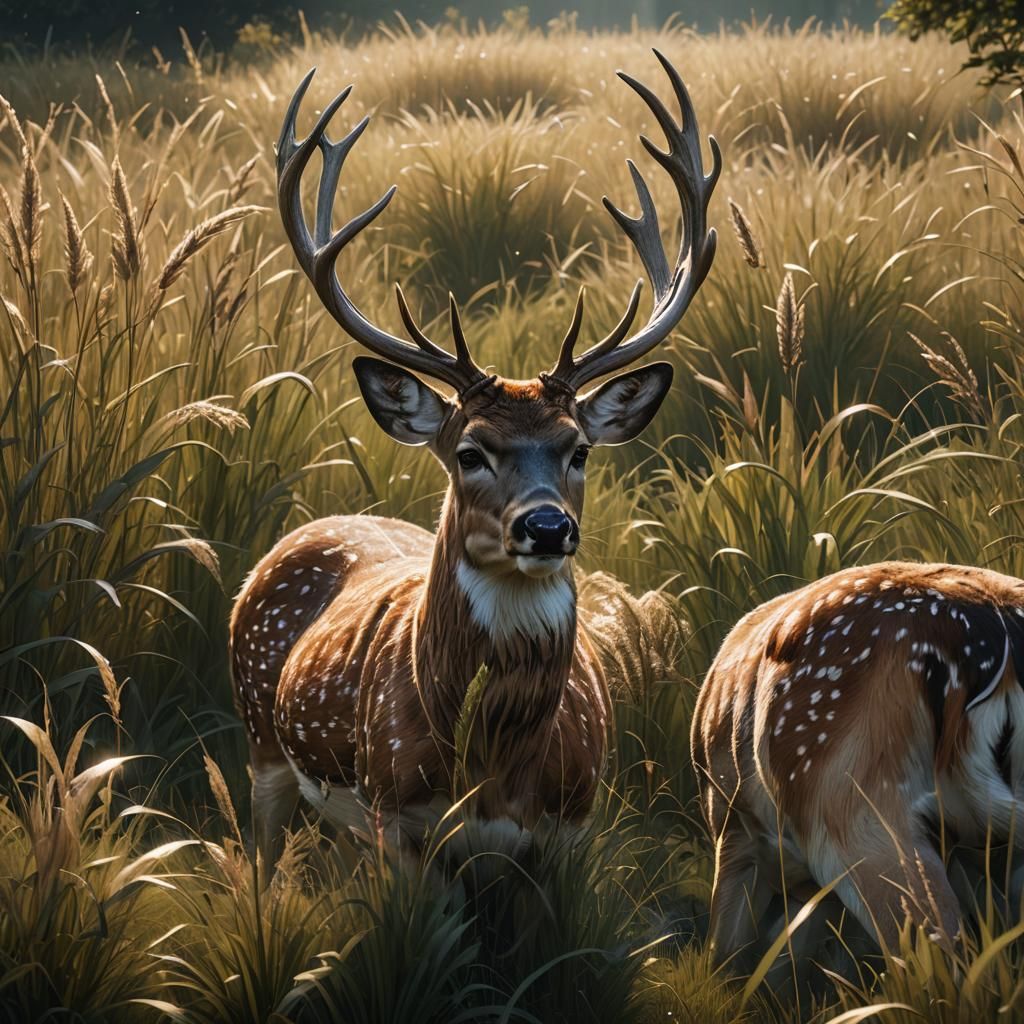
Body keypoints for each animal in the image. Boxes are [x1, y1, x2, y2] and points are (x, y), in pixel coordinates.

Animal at [230, 50, 720, 873]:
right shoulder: (395, 817)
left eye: (579, 448)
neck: (494, 770)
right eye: (469, 452)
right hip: (261, 738)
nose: (547, 527)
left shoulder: (570, 828)